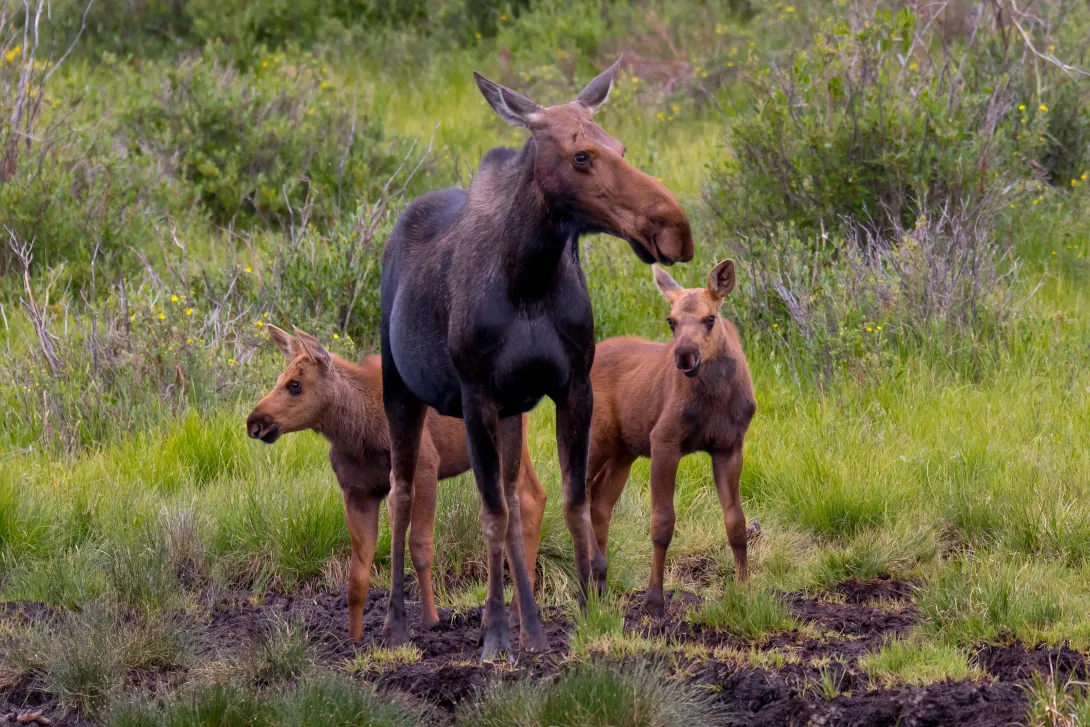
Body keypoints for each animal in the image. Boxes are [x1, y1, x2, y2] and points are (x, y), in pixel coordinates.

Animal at [245, 325, 547, 642]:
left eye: (295, 384)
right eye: (280, 379)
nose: (254, 422)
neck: (357, 431)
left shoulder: (425, 469)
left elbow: (420, 546)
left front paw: (430, 621)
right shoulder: (358, 493)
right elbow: (357, 574)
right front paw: (354, 639)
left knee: (528, 498)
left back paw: (514, 614)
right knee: (529, 500)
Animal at [379, 57, 694, 659]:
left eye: (619, 145)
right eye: (581, 156)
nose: (674, 228)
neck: (529, 274)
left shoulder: (572, 386)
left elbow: (571, 502)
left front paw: (586, 610)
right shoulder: (477, 395)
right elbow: (491, 514)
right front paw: (497, 635)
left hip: (511, 411)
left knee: (515, 495)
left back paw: (531, 625)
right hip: (400, 388)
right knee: (401, 492)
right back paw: (398, 624)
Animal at [586, 260, 756, 618]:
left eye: (710, 318)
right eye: (671, 321)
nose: (685, 356)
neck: (716, 398)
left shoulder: (730, 445)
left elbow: (736, 522)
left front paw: (745, 590)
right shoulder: (664, 441)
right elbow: (662, 523)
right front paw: (654, 600)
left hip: (623, 450)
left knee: (600, 504)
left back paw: (599, 587)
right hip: (595, 439)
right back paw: (593, 573)